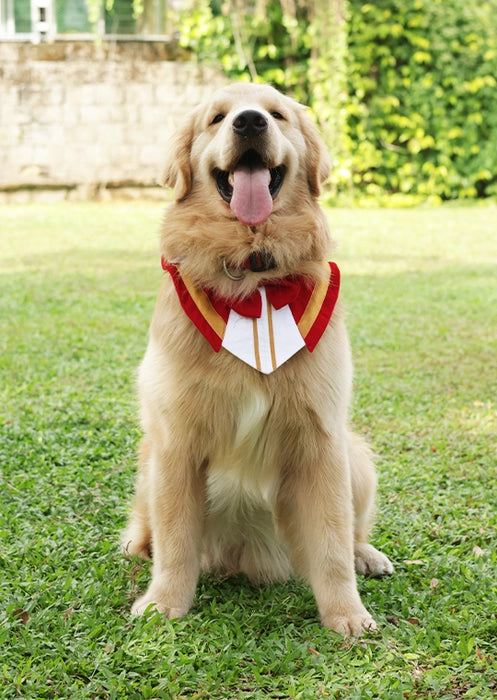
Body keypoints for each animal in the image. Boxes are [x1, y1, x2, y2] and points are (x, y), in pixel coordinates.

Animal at [121, 80, 392, 636]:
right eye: (217, 118)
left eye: (277, 114)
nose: (249, 122)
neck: (253, 272)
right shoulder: (175, 443)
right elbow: (176, 538)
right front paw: (164, 603)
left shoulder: (322, 440)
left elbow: (331, 542)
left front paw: (347, 615)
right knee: (149, 534)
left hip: (354, 455)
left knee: (350, 535)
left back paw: (366, 554)